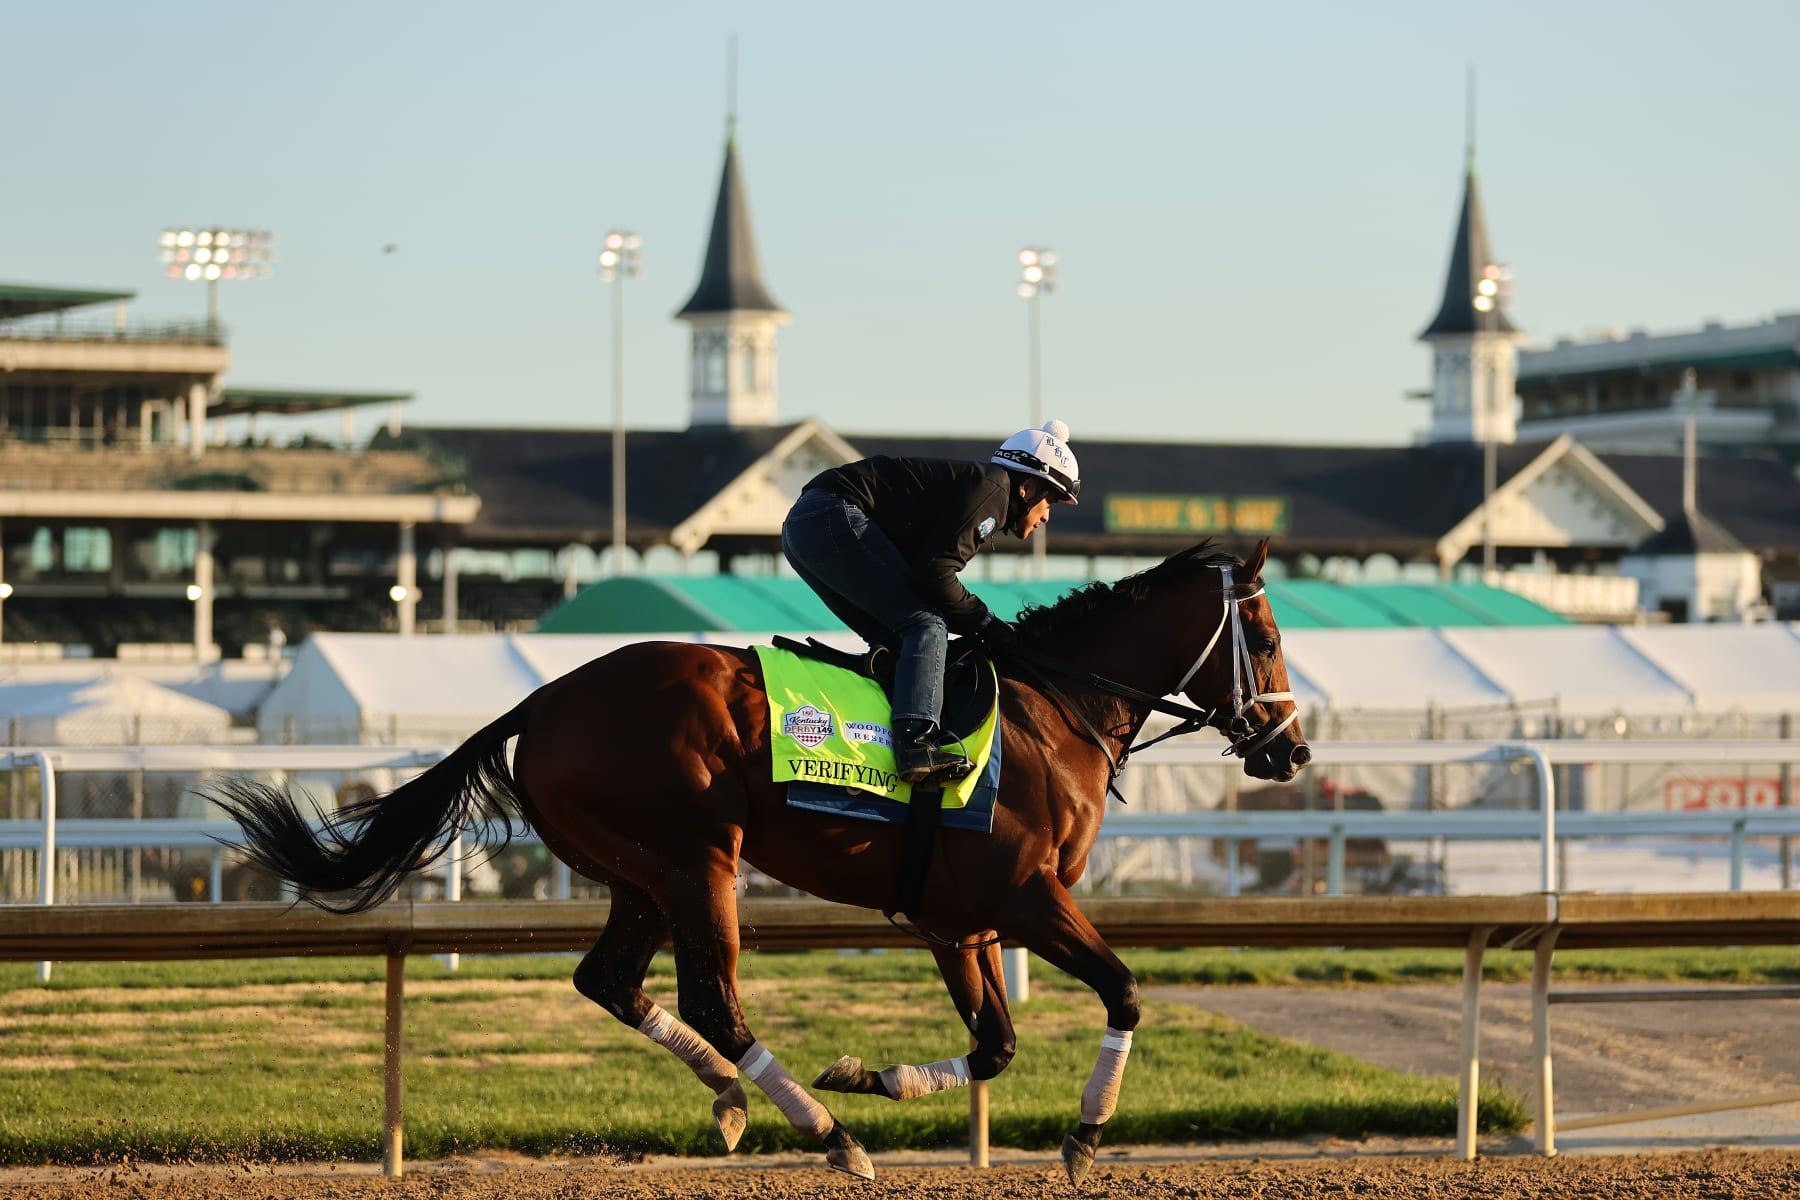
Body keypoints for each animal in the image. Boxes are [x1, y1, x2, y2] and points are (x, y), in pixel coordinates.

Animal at [210, 539, 1310, 1187]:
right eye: (1264, 632)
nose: (1291, 751)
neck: (1053, 711)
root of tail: (546, 699)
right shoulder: (1026, 897)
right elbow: (1123, 990)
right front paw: (1084, 1135)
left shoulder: (958, 919)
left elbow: (995, 1044)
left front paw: (873, 1071)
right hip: (699, 858)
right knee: (712, 999)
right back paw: (828, 1137)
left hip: (643, 874)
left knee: (610, 981)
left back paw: (739, 1100)